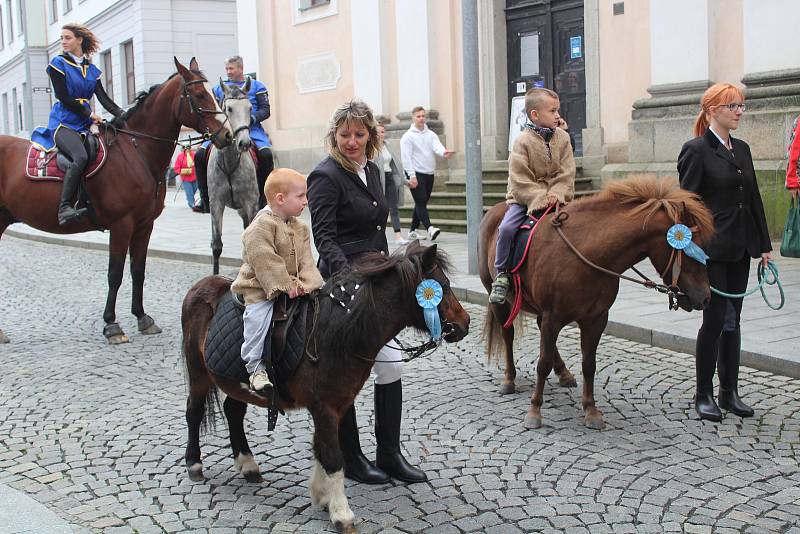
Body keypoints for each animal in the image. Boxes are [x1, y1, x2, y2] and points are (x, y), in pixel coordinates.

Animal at [0, 57, 231, 344]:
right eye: (199, 95)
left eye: (214, 93)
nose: (227, 135)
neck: (136, 151)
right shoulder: (122, 225)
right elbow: (115, 274)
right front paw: (112, 325)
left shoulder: (144, 225)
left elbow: (138, 271)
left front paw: (142, 317)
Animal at [181, 244, 468, 534]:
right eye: (443, 286)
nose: (464, 324)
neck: (336, 333)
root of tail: (202, 285)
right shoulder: (325, 407)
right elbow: (332, 456)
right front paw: (341, 513)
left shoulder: (338, 405)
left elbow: (321, 448)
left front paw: (321, 496)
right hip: (199, 372)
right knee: (194, 412)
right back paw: (194, 464)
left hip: (233, 381)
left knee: (233, 412)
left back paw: (248, 465)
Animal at [206, 78, 260, 276]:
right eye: (228, 108)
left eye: (250, 108)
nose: (244, 143)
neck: (230, 162)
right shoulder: (216, 203)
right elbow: (216, 245)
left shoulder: (251, 203)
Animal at [478, 178, 716, 434]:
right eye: (690, 249)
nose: (705, 298)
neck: (587, 254)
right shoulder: (554, 316)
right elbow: (542, 363)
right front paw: (534, 411)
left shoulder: (596, 318)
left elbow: (589, 364)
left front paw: (591, 410)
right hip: (498, 298)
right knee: (508, 335)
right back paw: (509, 378)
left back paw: (563, 373)